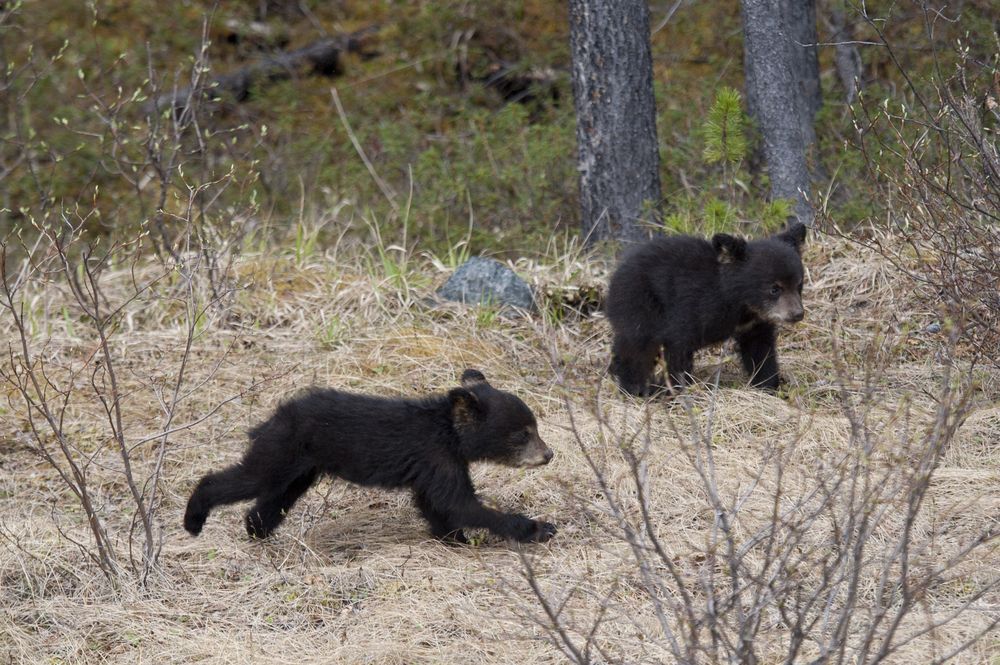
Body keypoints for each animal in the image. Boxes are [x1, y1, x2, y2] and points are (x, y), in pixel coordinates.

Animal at [183, 369, 557, 544]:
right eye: (522, 434)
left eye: (535, 427)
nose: (549, 454)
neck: (451, 433)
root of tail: (274, 417)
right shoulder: (438, 457)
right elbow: (460, 504)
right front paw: (539, 527)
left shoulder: (435, 466)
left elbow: (435, 505)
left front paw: (454, 538)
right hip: (282, 449)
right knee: (248, 478)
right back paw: (193, 520)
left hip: (303, 467)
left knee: (276, 497)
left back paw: (256, 529)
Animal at [605, 222, 807, 396]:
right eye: (774, 288)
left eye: (799, 284)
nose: (797, 313)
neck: (740, 303)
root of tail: (616, 274)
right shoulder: (692, 306)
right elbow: (678, 345)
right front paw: (679, 389)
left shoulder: (754, 325)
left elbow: (761, 351)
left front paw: (767, 386)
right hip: (640, 303)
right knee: (637, 346)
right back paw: (635, 387)